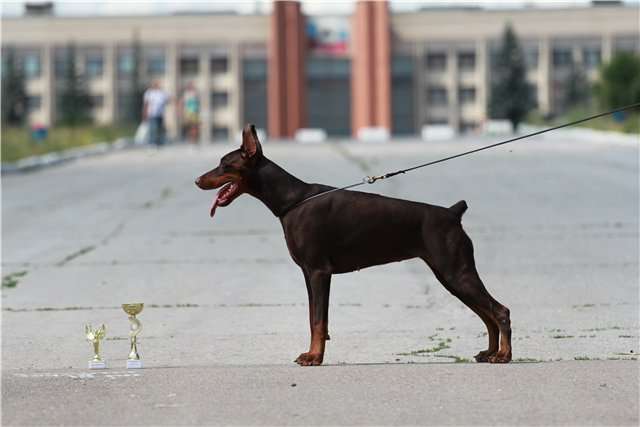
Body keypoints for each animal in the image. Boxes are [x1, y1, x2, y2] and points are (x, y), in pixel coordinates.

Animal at [195, 125, 516, 366]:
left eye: (225, 164)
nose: (197, 180)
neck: (291, 200)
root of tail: (452, 213)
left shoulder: (319, 271)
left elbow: (317, 320)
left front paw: (314, 357)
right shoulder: (308, 274)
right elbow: (314, 318)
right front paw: (314, 353)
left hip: (455, 271)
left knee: (499, 311)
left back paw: (503, 355)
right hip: (449, 276)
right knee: (486, 314)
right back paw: (489, 352)